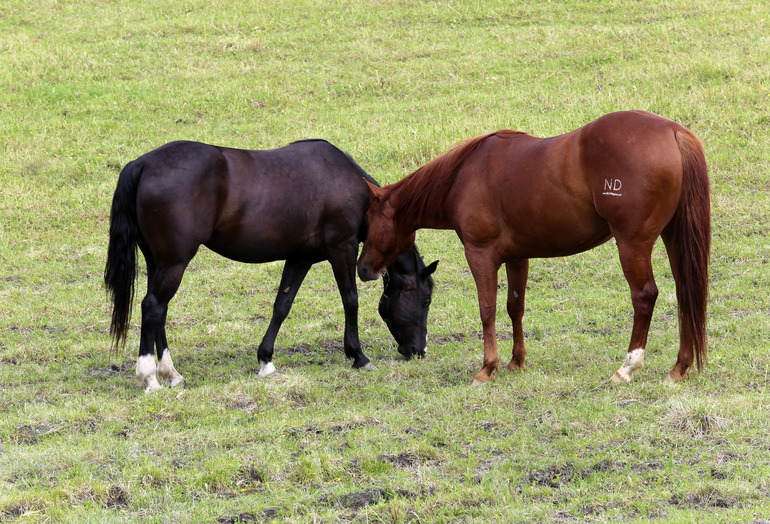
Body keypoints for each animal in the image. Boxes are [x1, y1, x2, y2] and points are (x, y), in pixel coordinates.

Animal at [105, 139, 436, 392]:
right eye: (426, 299)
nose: (419, 351)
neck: (349, 186)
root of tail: (144, 163)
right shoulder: (342, 249)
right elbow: (350, 301)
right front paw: (359, 356)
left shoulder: (300, 258)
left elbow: (282, 305)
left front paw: (266, 360)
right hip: (174, 262)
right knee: (153, 307)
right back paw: (149, 377)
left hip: (158, 262)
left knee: (159, 312)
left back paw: (171, 374)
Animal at [356, 110, 712, 384]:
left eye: (368, 219)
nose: (362, 269)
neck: (462, 177)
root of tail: (673, 131)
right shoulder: (518, 257)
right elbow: (515, 306)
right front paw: (516, 361)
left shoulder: (480, 255)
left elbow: (487, 309)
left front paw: (487, 368)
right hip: (673, 237)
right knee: (685, 291)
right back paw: (679, 367)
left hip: (633, 245)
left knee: (644, 296)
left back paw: (626, 368)